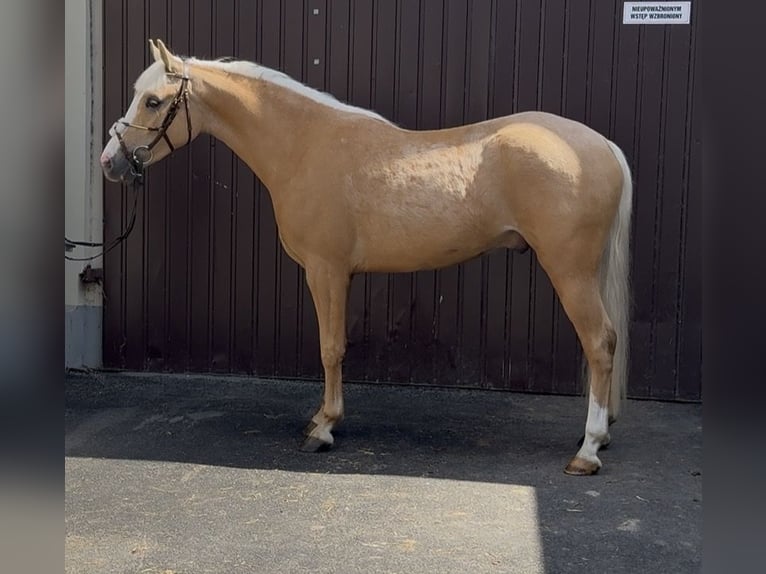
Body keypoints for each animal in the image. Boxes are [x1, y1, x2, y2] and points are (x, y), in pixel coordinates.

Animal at [101, 39, 632, 475]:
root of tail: (602, 145)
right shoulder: (337, 274)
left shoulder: (326, 271)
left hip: (569, 271)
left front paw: (324, 428)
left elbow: (330, 348)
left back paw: (588, 450)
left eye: (153, 101)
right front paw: (320, 417)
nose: (110, 162)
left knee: (599, 343)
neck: (305, 146)